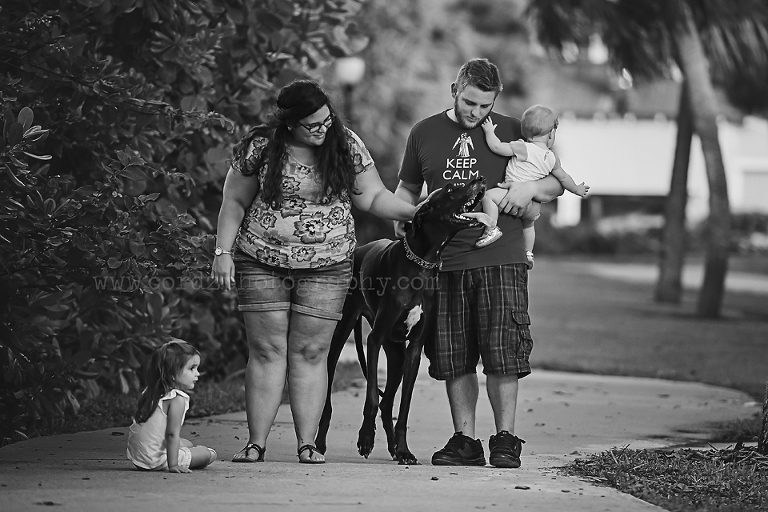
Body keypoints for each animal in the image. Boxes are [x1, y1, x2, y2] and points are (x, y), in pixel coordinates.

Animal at [315, 177, 487, 465]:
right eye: (451, 188)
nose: (479, 179)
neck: (421, 265)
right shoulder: (374, 340)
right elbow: (372, 397)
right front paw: (365, 439)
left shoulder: (414, 349)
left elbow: (403, 406)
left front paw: (404, 450)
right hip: (341, 336)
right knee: (329, 398)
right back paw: (318, 444)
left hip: (395, 355)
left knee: (388, 403)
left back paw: (395, 448)